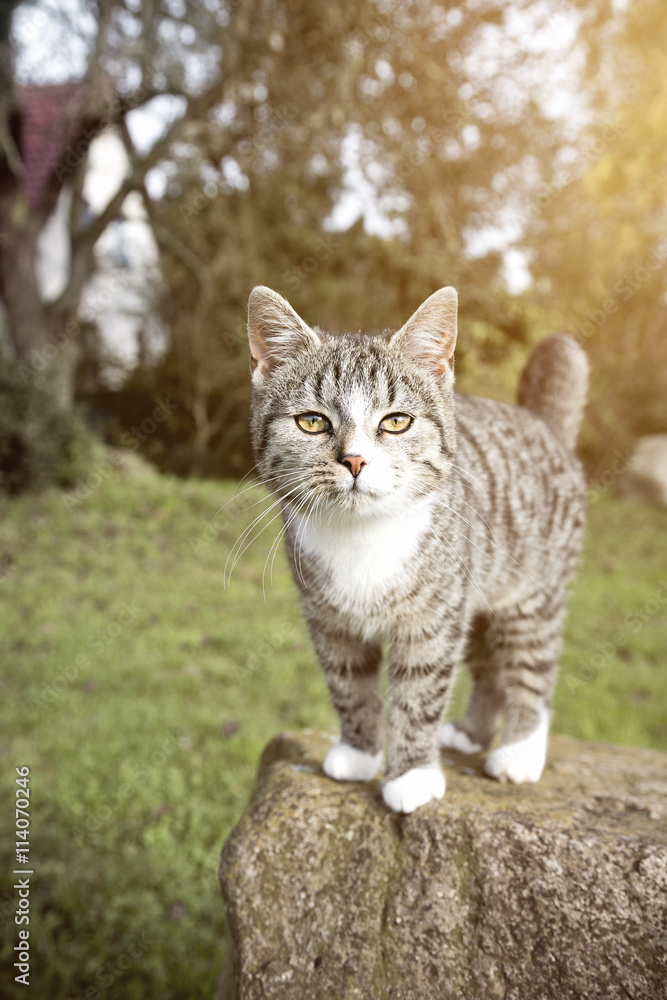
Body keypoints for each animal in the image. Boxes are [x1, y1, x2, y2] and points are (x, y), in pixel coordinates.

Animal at [247, 288, 588, 812]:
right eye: (312, 422)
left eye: (396, 422)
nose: (355, 460)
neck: (362, 535)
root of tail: (542, 424)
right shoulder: (330, 621)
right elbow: (349, 684)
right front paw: (358, 752)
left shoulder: (434, 619)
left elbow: (420, 691)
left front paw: (411, 775)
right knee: (488, 667)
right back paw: (471, 733)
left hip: (530, 593)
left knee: (532, 664)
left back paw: (519, 752)